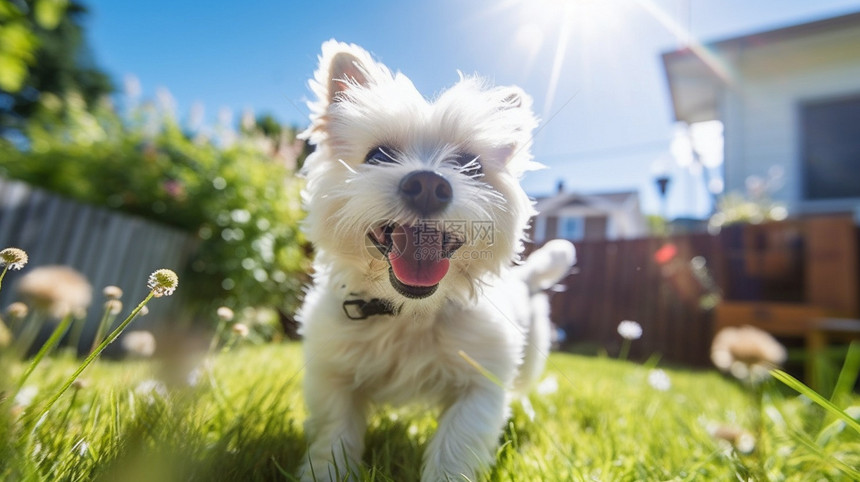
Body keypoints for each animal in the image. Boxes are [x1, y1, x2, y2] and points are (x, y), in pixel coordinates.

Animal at [298, 41, 576, 482]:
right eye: (378, 155)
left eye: (470, 165)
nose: (428, 184)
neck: (410, 315)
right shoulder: (333, 379)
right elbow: (334, 440)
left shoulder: (480, 386)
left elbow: (454, 449)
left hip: (530, 358)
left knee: (522, 388)